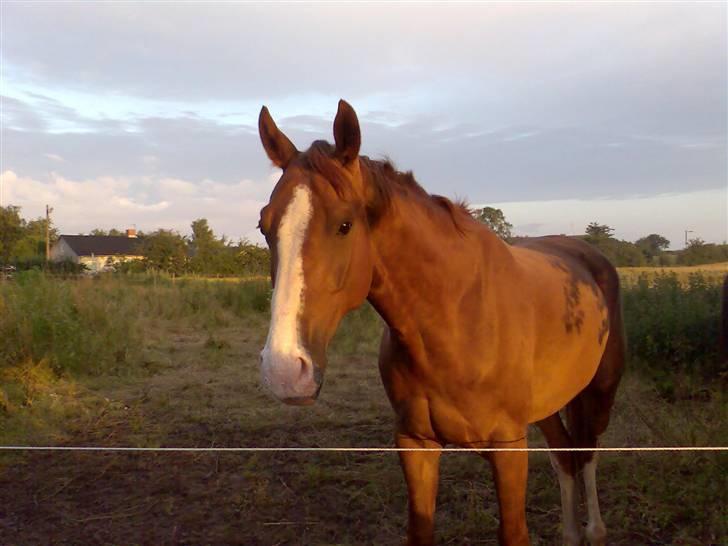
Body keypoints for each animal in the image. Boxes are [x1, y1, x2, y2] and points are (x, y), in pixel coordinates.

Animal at [256, 100, 624, 540]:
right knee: (566, 458)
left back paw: (594, 530)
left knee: (586, 456)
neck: (455, 322)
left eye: (344, 225)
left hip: (598, 392)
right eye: (264, 226)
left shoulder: (509, 446)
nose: (283, 371)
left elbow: (514, 532)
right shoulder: (415, 443)